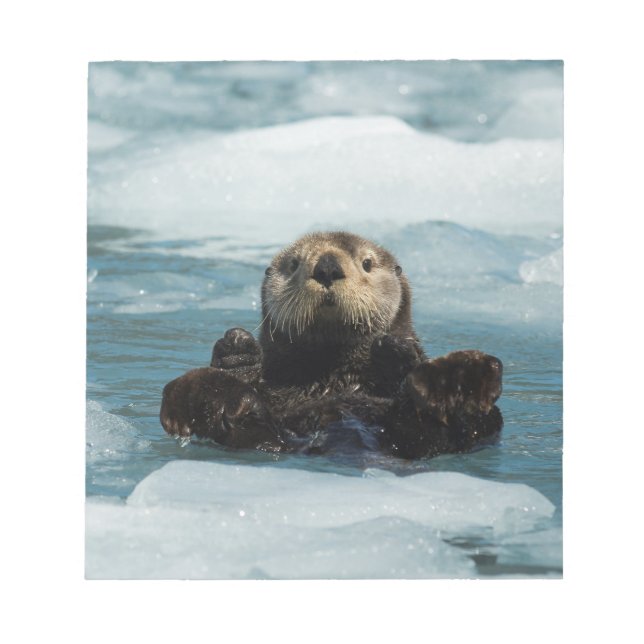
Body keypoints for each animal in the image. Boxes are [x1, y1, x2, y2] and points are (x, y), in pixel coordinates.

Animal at [160, 232, 503, 459]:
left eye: (367, 263)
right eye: (294, 263)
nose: (326, 267)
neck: (334, 378)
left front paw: (393, 350)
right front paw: (237, 350)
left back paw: (454, 381)